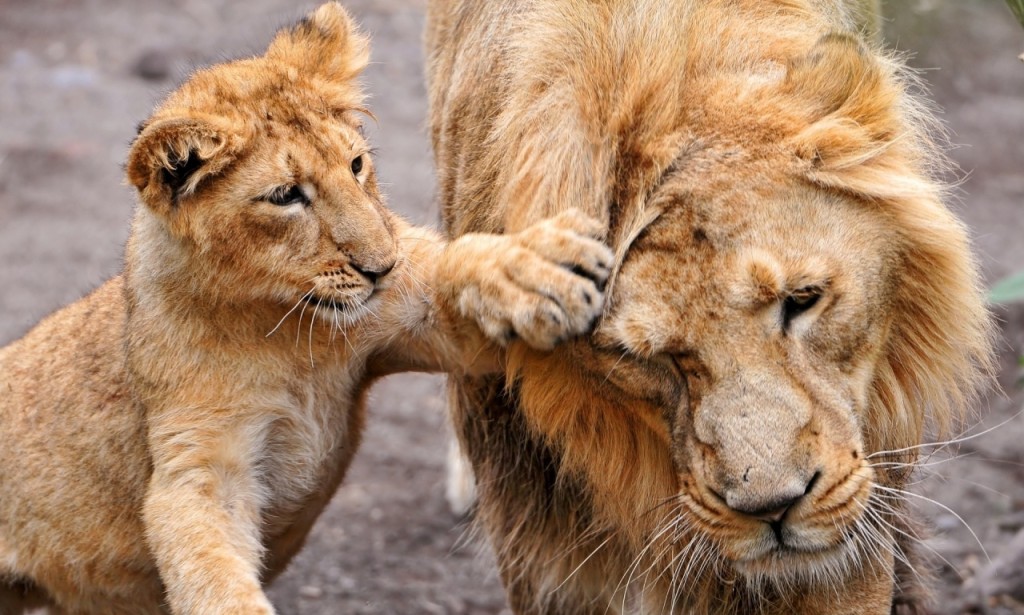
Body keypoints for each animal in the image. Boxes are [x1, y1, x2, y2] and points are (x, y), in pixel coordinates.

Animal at [0, 4, 614, 614]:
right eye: (286, 196)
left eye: (357, 164)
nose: (382, 267)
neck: (283, 330)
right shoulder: (197, 463)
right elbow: (213, 574)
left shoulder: (405, 327)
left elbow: (451, 268)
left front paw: (535, 268)